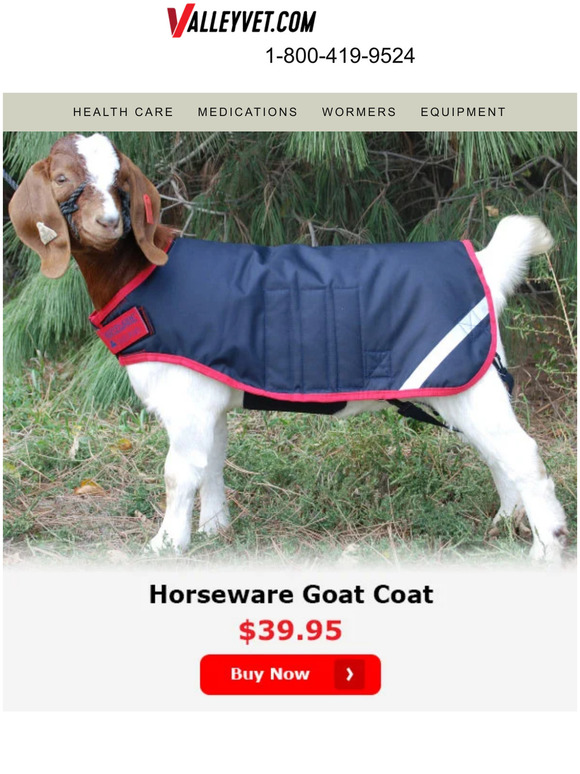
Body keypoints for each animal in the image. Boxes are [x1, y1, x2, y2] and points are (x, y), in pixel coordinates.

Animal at [8, 133, 568, 562]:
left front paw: (166, 544)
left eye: (120, 183)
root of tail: (486, 261)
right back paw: (505, 521)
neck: (143, 273)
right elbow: (213, 461)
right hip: (471, 383)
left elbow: (177, 473)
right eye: (63, 178)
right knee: (496, 452)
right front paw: (215, 528)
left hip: (466, 384)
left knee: (522, 453)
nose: (107, 222)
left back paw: (547, 545)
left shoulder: (186, 399)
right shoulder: (212, 395)